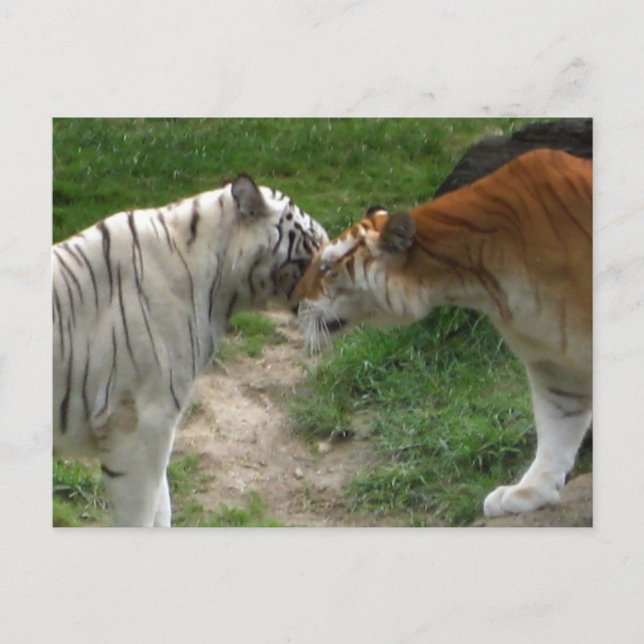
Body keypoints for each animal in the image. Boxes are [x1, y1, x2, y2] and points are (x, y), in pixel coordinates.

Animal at [293, 148, 592, 519]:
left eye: (327, 266)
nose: (293, 304)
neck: (480, 277)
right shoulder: (554, 362)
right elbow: (557, 430)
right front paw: (528, 492)